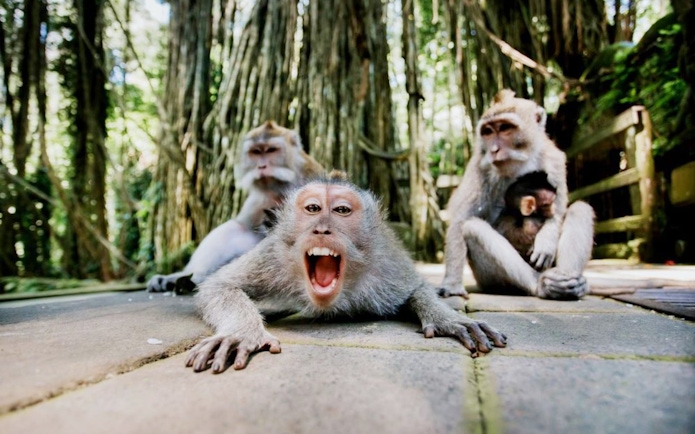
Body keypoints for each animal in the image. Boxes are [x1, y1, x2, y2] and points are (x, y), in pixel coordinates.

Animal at [147, 121, 325, 292]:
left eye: (271, 150)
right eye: (256, 152)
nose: (261, 166)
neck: (280, 189)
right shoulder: (259, 199)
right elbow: (244, 227)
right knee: (234, 228)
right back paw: (185, 278)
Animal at [185, 173, 507, 373]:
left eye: (341, 210)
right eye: (313, 208)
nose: (322, 229)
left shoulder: (385, 263)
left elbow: (417, 289)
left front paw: (448, 318)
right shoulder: (274, 254)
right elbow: (219, 285)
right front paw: (242, 333)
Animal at [437, 90, 595, 300]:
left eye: (505, 128)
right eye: (488, 132)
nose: (494, 150)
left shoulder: (554, 159)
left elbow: (559, 209)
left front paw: (546, 239)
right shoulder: (479, 166)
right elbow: (460, 220)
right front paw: (452, 284)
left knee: (580, 209)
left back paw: (571, 283)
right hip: (489, 279)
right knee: (472, 228)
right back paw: (541, 286)